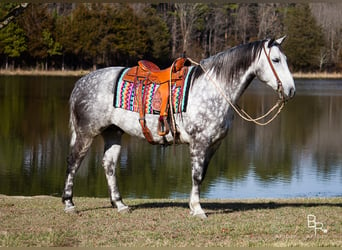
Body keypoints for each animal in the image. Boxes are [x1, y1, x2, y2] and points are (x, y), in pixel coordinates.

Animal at [62, 36, 296, 218]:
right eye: (276, 60)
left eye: (285, 59)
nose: (291, 90)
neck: (213, 88)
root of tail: (81, 82)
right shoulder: (199, 142)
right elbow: (196, 175)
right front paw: (198, 210)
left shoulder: (214, 145)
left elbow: (201, 175)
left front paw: (194, 207)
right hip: (86, 133)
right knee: (74, 162)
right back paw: (69, 204)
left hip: (113, 133)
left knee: (109, 165)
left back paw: (120, 204)